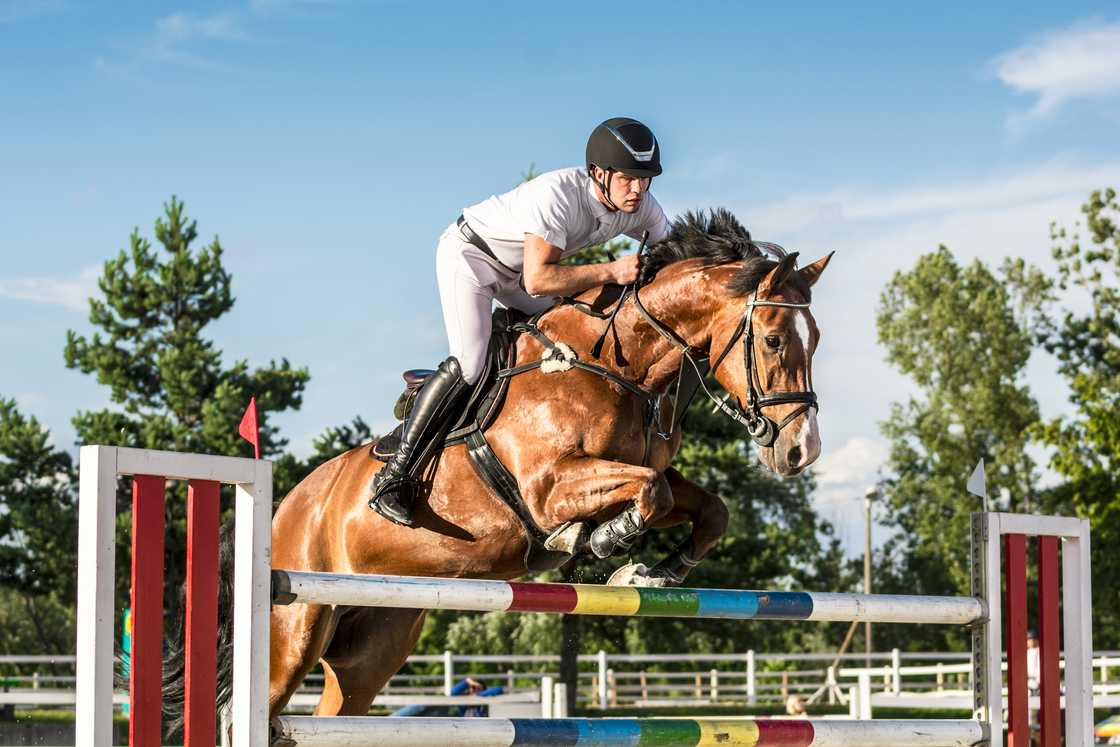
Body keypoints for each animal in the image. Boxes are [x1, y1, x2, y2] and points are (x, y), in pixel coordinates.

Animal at [165, 208, 832, 725]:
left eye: (818, 339)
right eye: (774, 339)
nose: (801, 450)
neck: (618, 365)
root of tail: (285, 506)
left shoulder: (645, 471)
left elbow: (705, 508)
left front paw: (654, 571)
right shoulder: (549, 487)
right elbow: (648, 496)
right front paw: (600, 542)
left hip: (372, 643)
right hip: (292, 632)